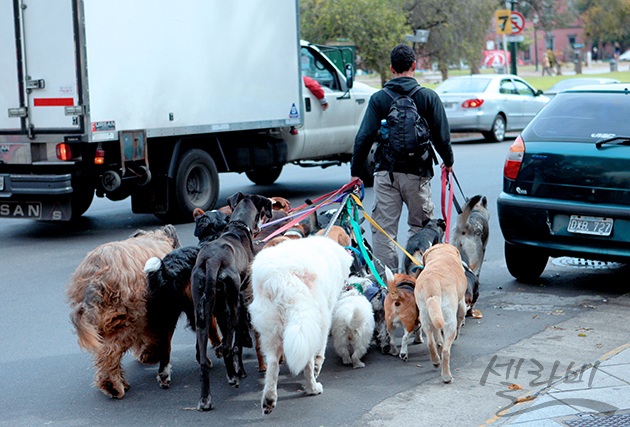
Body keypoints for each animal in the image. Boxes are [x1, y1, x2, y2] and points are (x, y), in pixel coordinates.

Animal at [67, 226, 180, 400]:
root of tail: (97, 276)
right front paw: (150, 355)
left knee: (105, 352)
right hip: (127, 317)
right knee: (110, 351)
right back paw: (112, 385)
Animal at [191, 193, 272, 412]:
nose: (260, 227)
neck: (237, 228)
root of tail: (212, 261)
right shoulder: (243, 299)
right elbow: (238, 341)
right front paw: (240, 370)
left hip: (202, 314)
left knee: (203, 361)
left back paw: (205, 399)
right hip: (232, 306)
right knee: (228, 345)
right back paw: (232, 377)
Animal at [248, 236, 356, 416]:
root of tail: (280, 276)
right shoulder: (325, 315)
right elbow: (320, 349)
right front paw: (318, 366)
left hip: (270, 327)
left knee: (273, 364)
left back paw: (269, 400)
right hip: (308, 317)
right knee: (307, 361)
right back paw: (313, 388)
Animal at [414, 244, 470, 384]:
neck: (441, 253)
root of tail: (432, 283)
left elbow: (437, 335)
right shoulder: (461, 303)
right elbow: (461, 319)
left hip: (426, 316)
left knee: (430, 342)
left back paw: (435, 361)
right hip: (449, 320)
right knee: (446, 351)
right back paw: (446, 377)